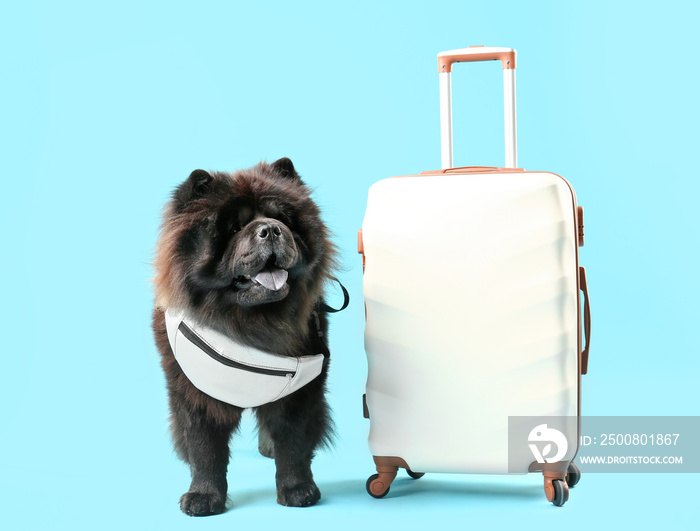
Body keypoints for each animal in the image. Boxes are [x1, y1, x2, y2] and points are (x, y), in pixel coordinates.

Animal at [152, 157, 340, 516]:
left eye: (282, 219)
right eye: (234, 228)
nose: (270, 229)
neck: (249, 325)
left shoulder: (300, 390)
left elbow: (293, 444)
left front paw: (298, 491)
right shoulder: (195, 393)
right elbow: (204, 449)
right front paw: (203, 497)